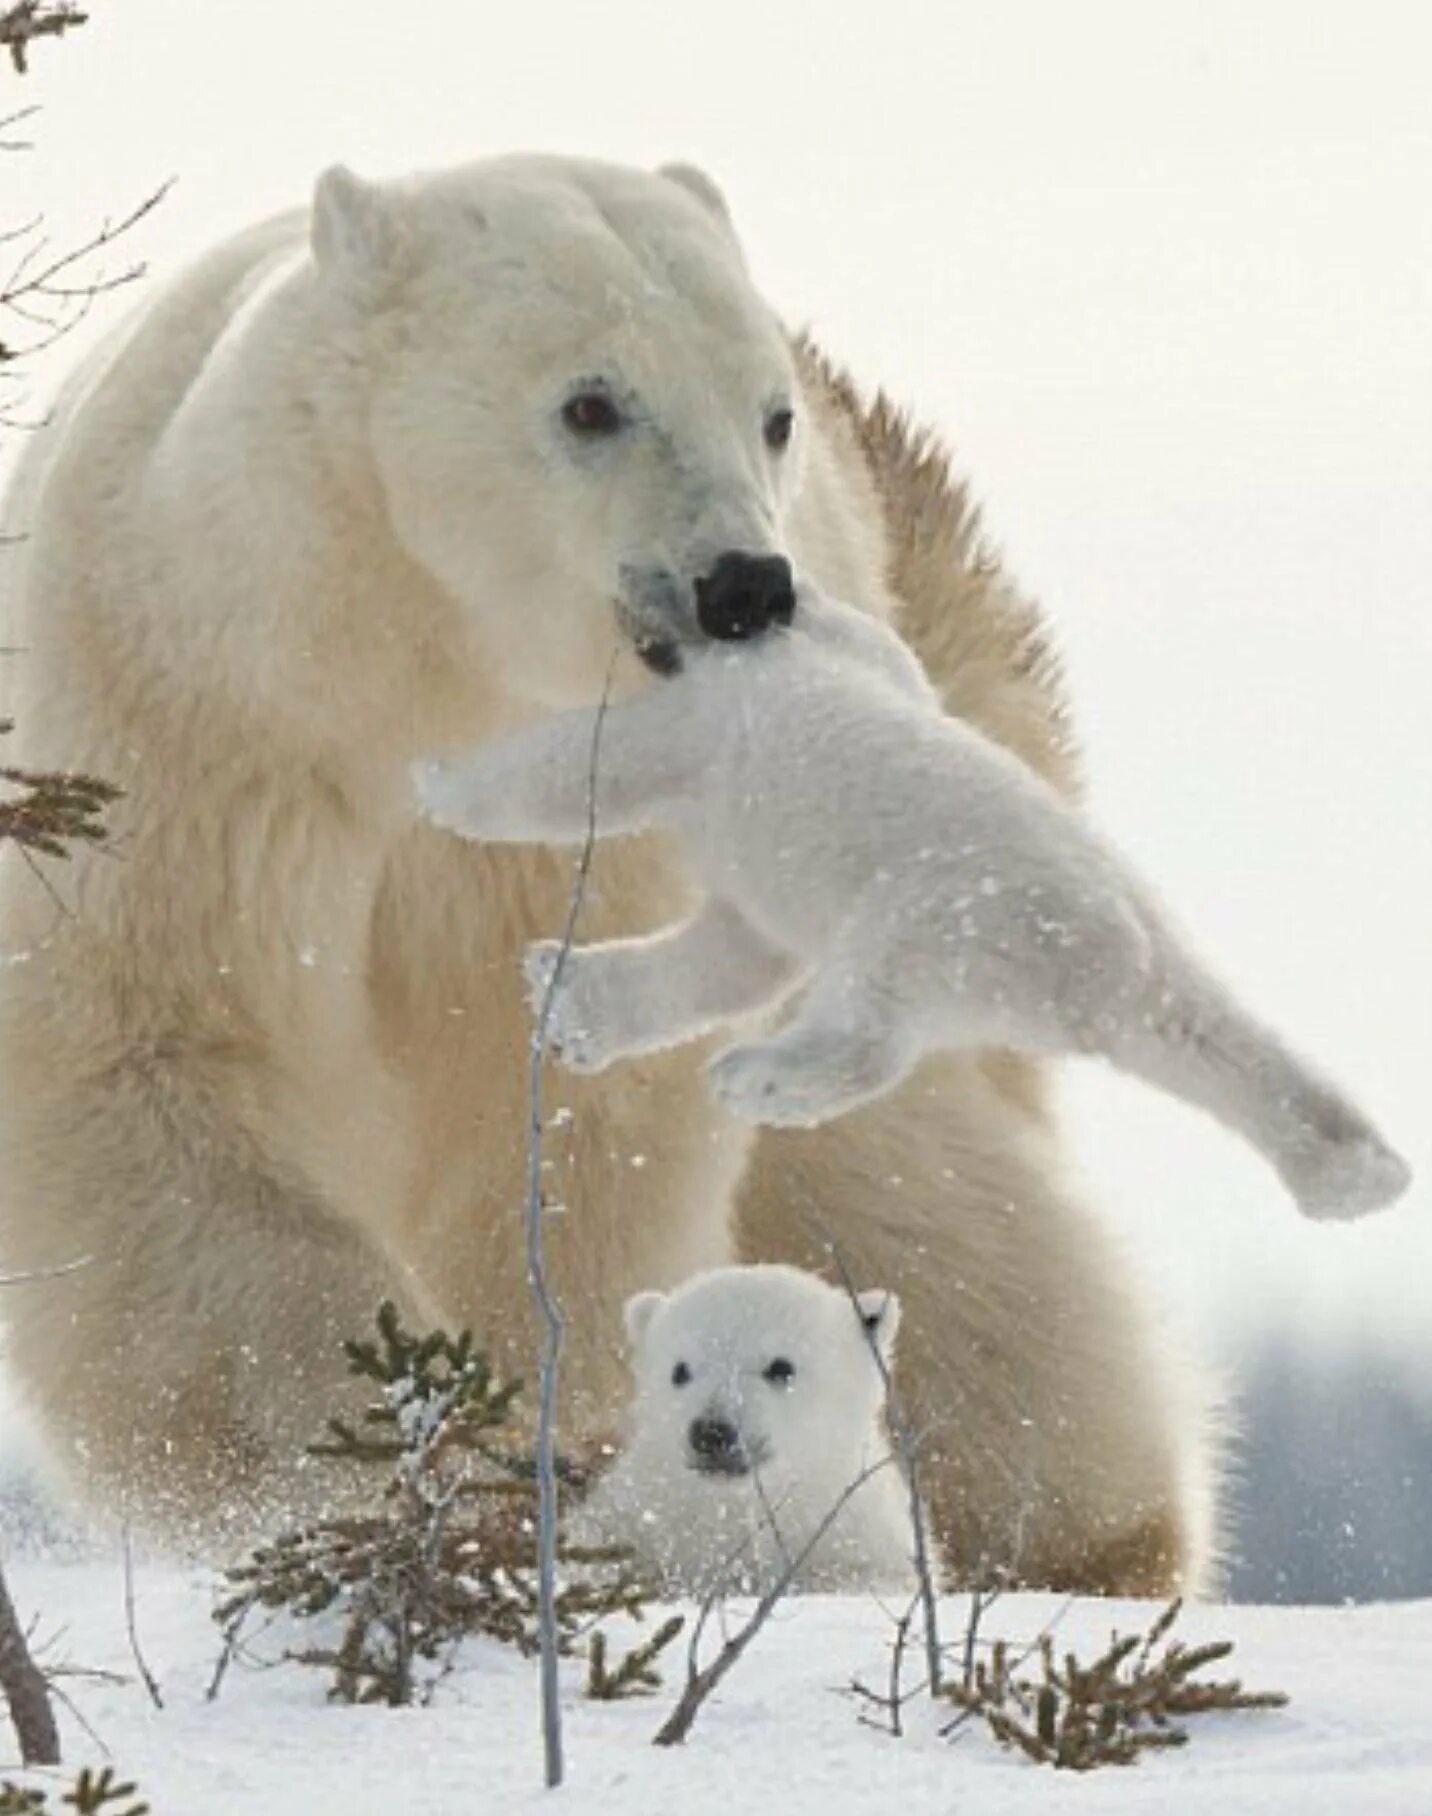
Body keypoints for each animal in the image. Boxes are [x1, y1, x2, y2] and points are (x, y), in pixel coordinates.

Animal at [0, 156, 1205, 1590]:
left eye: (768, 415)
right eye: (591, 401)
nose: (744, 584)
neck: (411, 662)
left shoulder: (618, 819)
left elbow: (582, 1114)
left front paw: (530, 1423)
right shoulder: (186, 737)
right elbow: (154, 1067)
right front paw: (358, 1449)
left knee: (948, 1230)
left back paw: (1079, 1540)